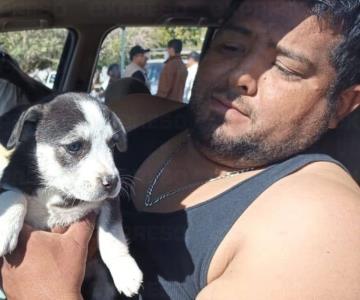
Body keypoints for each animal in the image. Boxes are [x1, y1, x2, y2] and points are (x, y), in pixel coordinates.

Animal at [0, 93, 143, 298]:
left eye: (112, 145)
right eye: (75, 146)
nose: (113, 182)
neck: (58, 191)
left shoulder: (110, 201)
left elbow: (112, 232)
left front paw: (124, 268)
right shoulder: (8, 182)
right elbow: (14, 196)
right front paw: (5, 228)